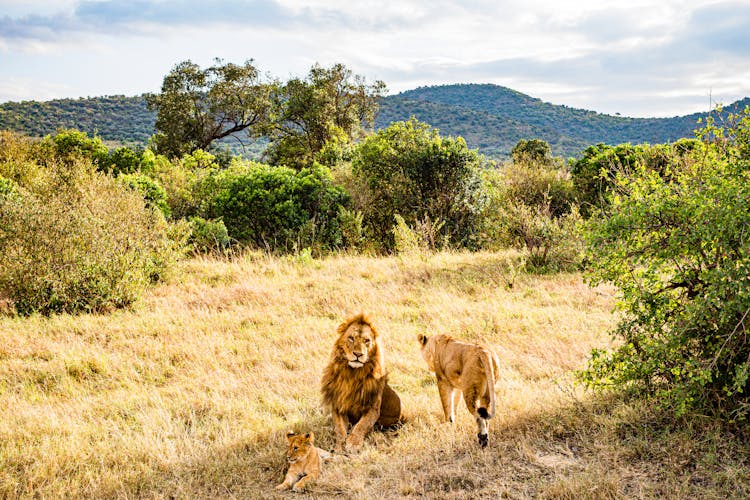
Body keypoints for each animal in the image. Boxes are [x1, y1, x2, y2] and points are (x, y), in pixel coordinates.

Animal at [324, 316, 406, 454]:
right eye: (351, 338)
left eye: (367, 341)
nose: (358, 354)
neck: (353, 374)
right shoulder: (338, 406)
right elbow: (340, 429)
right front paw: (339, 447)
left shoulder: (372, 408)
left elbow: (362, 425)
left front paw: (353, 444)